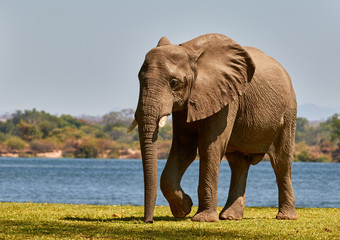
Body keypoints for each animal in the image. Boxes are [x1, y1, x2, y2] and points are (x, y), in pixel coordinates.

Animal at [129, 33, 296, 223]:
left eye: (174, 82)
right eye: (139, 79)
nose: (148, 221)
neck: (189, 51)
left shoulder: (227, 97)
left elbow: (210, 146)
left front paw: (202, 219)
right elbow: (184, 149)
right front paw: (184, 209)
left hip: (288, 112)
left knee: (281, 162)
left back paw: (285, 217)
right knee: (238, 163)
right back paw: (230, 217)